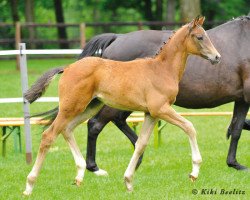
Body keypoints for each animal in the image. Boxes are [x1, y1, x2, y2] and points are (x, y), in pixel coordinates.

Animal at [22, 16, 220, 195]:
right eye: (200, 37)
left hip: (89, 107)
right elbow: (189, 127)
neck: (161, 70)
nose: (217, 57)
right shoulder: (161, 109)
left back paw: (79, 174)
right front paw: (194, 172)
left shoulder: (151, 114)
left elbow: (141, 143)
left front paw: (128, 181)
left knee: (67, 129)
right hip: (71, 107)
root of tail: (68, 68)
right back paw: (29, 185)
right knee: (49, 135)